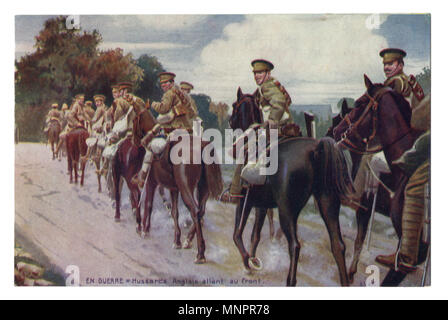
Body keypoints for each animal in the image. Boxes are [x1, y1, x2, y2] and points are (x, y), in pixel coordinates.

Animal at [133, 106, 224, 264]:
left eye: (133, 120)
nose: (134, 140)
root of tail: (202, 145)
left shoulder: (151, 183)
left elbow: (148, 205)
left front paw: (145, 230)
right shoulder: (174, 189)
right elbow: (175, 212)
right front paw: (177, 241)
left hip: (186, 189)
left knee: (195, 211)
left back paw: (200, 254)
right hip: (202, 189)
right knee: (201, 211)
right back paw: (188, 241)